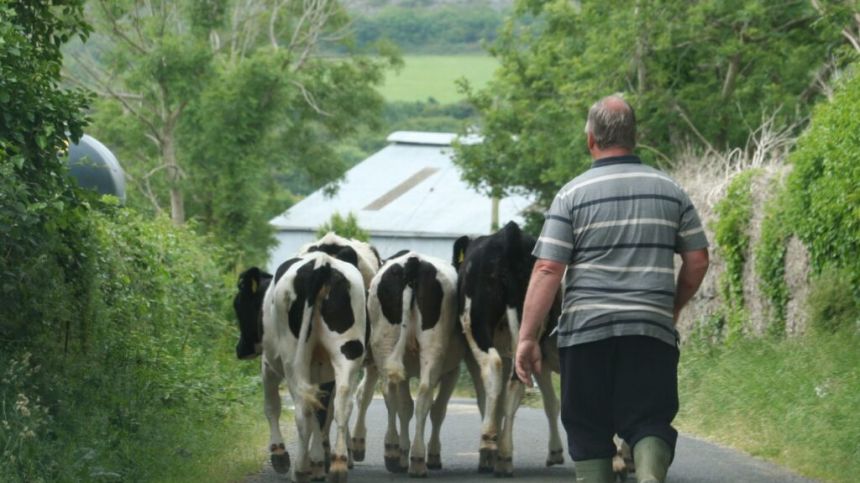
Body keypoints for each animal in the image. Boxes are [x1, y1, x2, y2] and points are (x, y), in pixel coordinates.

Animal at [366, 251, 466, 478]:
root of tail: (413, 261)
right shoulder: (453, 371)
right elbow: (438, 410)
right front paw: (433, 456)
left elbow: (404, 407)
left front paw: (402, 454)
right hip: (433, 346)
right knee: (424, 396)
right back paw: (419, 459)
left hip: (384, 342)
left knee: (390, 392)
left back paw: (393, 453)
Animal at [450, 222, 564, 476]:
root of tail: (509, 236)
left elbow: (486, 397)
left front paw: (486, 457)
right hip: (527, 326)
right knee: (516, 383)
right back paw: (504, 456)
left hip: (477, 323)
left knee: (493, 368)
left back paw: (489, 443)